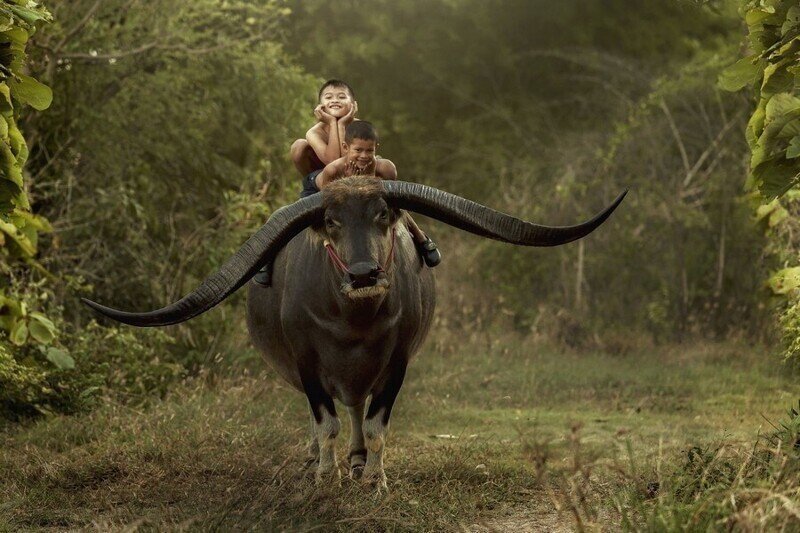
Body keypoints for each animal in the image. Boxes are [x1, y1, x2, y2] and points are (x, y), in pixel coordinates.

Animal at [84, 177, 628, 488]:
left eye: (382, 214)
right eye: (331, 220)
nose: (365, 273)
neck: (353, 323)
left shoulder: (397, 363)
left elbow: (375, 424)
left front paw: (375, 480)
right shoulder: (306, 365)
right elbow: (324, 422)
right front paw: (326, 480)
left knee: (357, 410)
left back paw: (359, 461)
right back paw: (318, 462)